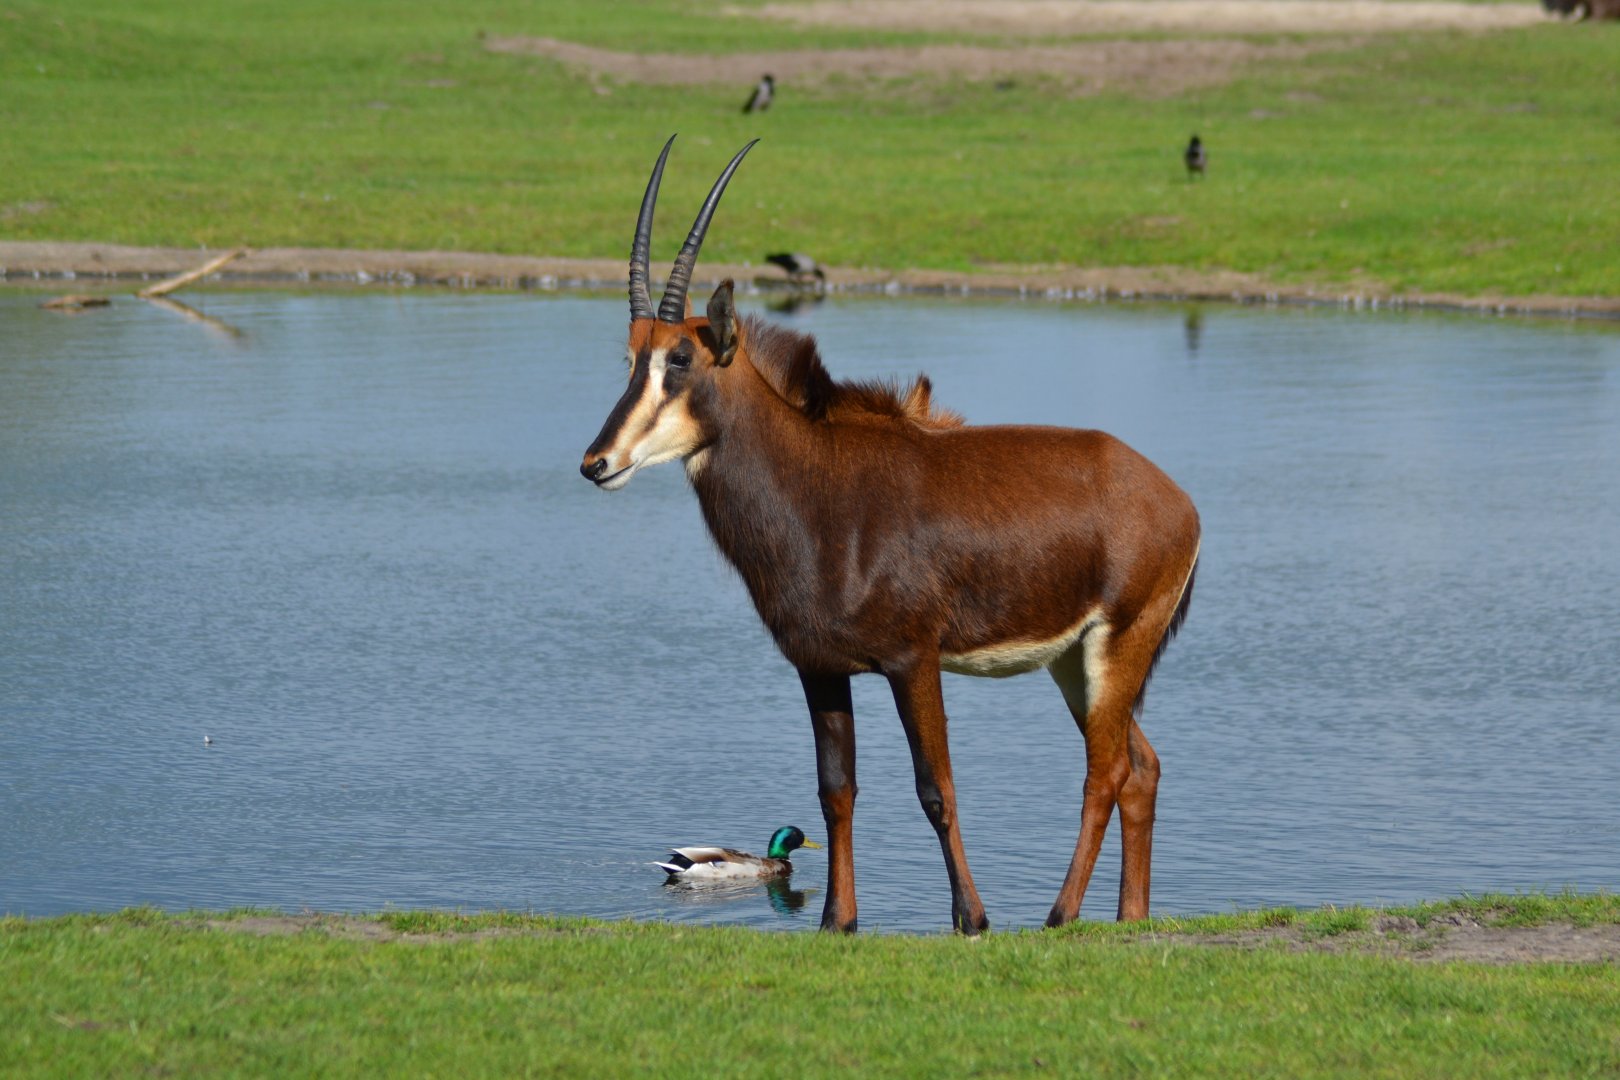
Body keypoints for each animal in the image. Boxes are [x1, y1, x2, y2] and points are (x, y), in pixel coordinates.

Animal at [580, 136, 1201, 934]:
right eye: (630, 359)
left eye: (680, 360)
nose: (598, 463)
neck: (820, 490)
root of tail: (1176, 500)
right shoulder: (819, 667)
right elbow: (835, 792)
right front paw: (836, 921)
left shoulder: (914, 660)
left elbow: (936, 787)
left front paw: (971, 919)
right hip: (1073, 663)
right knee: (1140, 767)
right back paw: (1129, 921)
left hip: (1118, 646)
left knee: (1106, 770)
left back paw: (1060, 916)